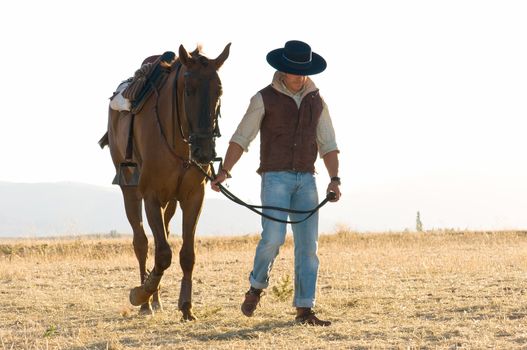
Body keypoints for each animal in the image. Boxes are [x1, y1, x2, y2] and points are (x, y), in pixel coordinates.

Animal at [105, 42, 231, 318]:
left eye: (219, 90)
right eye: (189, 90)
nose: (204, 151)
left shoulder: (193, 197)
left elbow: (186, 254)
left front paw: (186, 306)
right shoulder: (150, 196)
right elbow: (162, 253)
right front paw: (141, 293)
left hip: (170, 202)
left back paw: (156, 300)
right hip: (130, 191)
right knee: (141, 243)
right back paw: (146, 302)